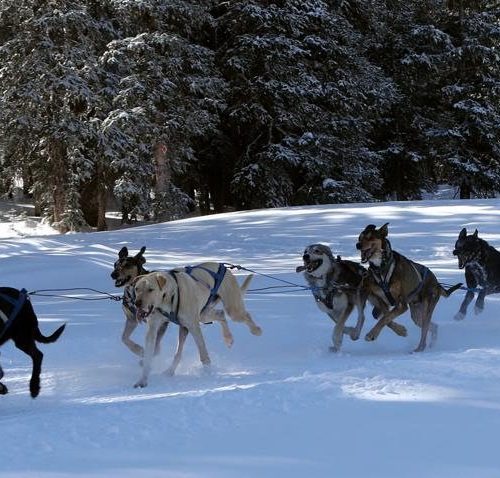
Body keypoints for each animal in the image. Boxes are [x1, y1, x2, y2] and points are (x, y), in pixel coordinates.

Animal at [356, 223, 460, 352]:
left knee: (425, 330)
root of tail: (437, 283)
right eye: (359, 238)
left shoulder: (401, 305)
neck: (381, 269)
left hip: (426, 308)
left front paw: (371, 334)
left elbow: (385, 319)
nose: (358, 245)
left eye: (370, 237)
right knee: (433, 326)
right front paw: (400, 330)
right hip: (416, 315)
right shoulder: (378, 298)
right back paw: (431, 343)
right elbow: (385, 318)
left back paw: (419, 348)